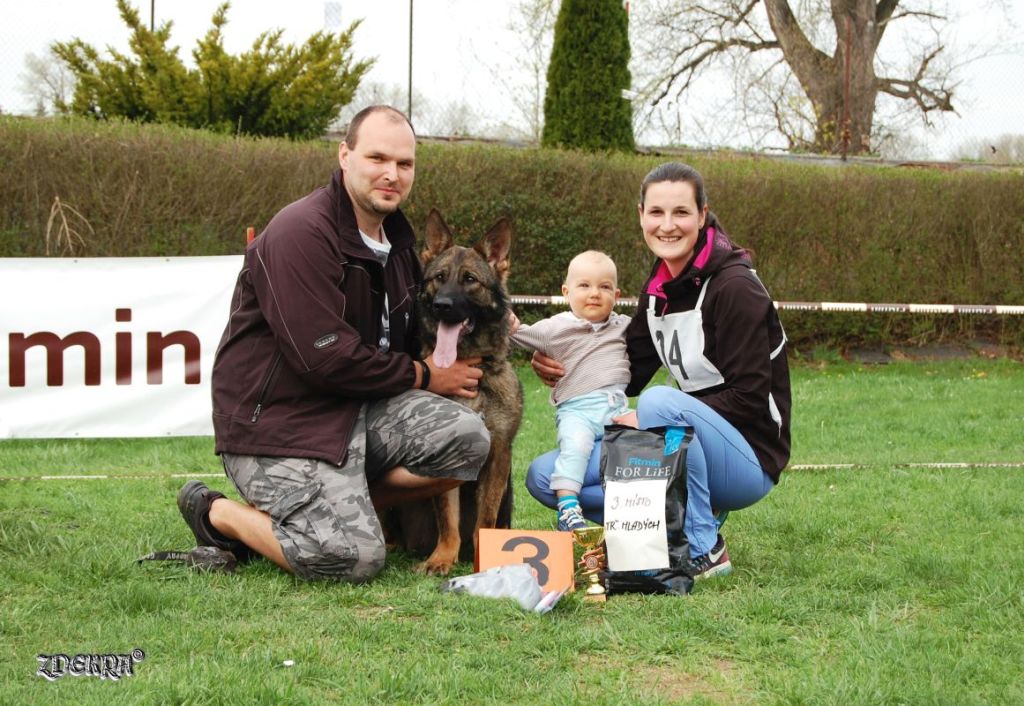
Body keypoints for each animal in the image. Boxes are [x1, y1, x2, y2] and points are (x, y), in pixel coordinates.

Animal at [387, 208, 524, 573]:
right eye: (439, 277)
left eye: (470, 280)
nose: (442, 305)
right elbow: (447, 517)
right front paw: (442, 558)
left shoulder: (498, 455)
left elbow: (485, 519)